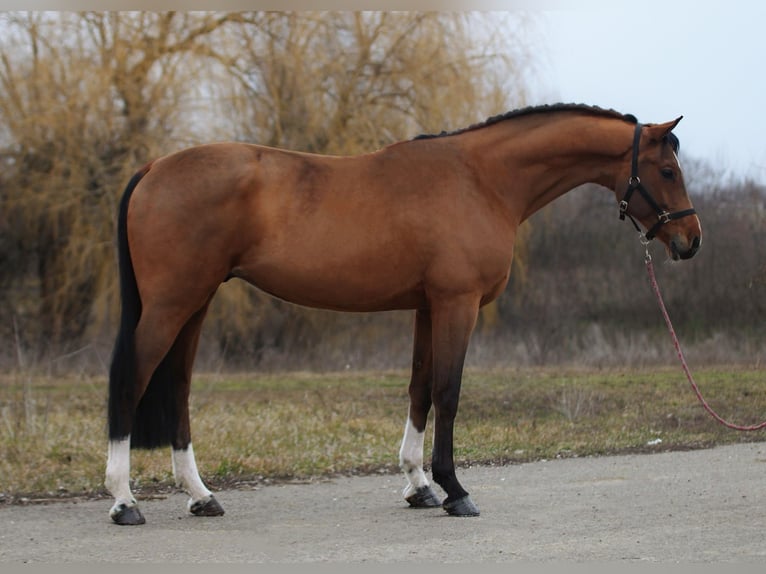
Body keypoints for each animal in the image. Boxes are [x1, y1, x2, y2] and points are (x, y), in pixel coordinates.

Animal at [105, 103, 704, 528]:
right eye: (666, 169)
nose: (691, 241)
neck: (482, 178)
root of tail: (154, 167)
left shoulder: (426, 306)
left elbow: (419, 389)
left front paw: (420, 487)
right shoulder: (457, 303)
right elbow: (448, 391)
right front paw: (456, 491)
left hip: (196, 303)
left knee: (178, 388)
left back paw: (200, 496)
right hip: (172, 303)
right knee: (131, 380)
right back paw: (124, 501)